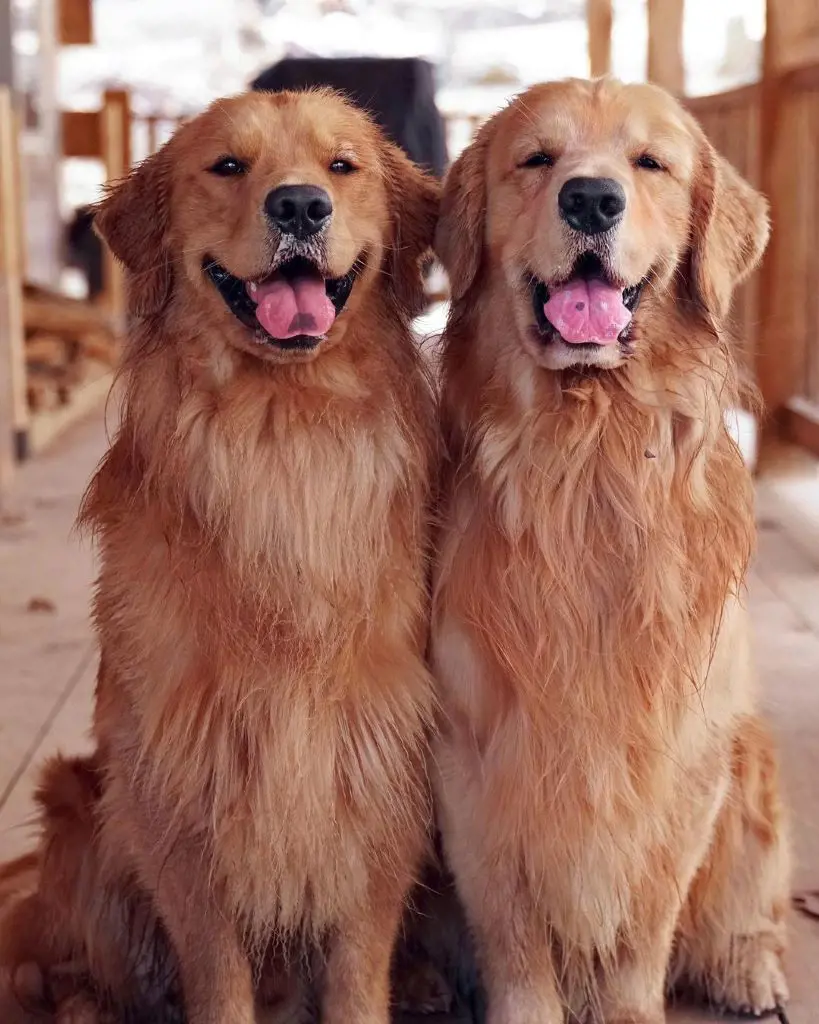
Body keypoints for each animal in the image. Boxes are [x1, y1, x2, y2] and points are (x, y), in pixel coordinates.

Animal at [1, 90, 442, 1024]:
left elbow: (358, 970)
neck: (282, 432)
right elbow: (215, 973)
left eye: (341, 165)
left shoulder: (381, 773)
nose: (300, 206)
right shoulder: (179, 791)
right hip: (79, 802)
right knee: (61, 959)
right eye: (228, 166)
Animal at [432, 79, 790, 1024]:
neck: (591, 458)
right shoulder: (478, 761)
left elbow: (641, 933)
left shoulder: (677, 761)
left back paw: (749, 965)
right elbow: (516, 942)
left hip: (749, 755)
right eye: (535, 159)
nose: (591, 199)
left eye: (649, 163)